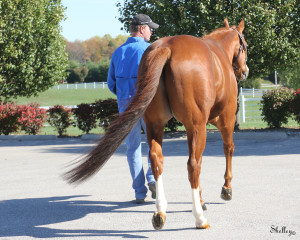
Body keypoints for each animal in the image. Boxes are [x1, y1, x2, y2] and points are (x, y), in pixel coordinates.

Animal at [65, 18, 248, 229]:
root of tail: (167, 47)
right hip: (196, 125)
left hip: (155, 124)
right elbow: (228, 149)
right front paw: (226, 189)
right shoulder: (224, 119)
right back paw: (199, 218)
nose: (244, 71)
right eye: (245, 46)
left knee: (156, 159)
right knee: (193, 165)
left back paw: (160, 211)